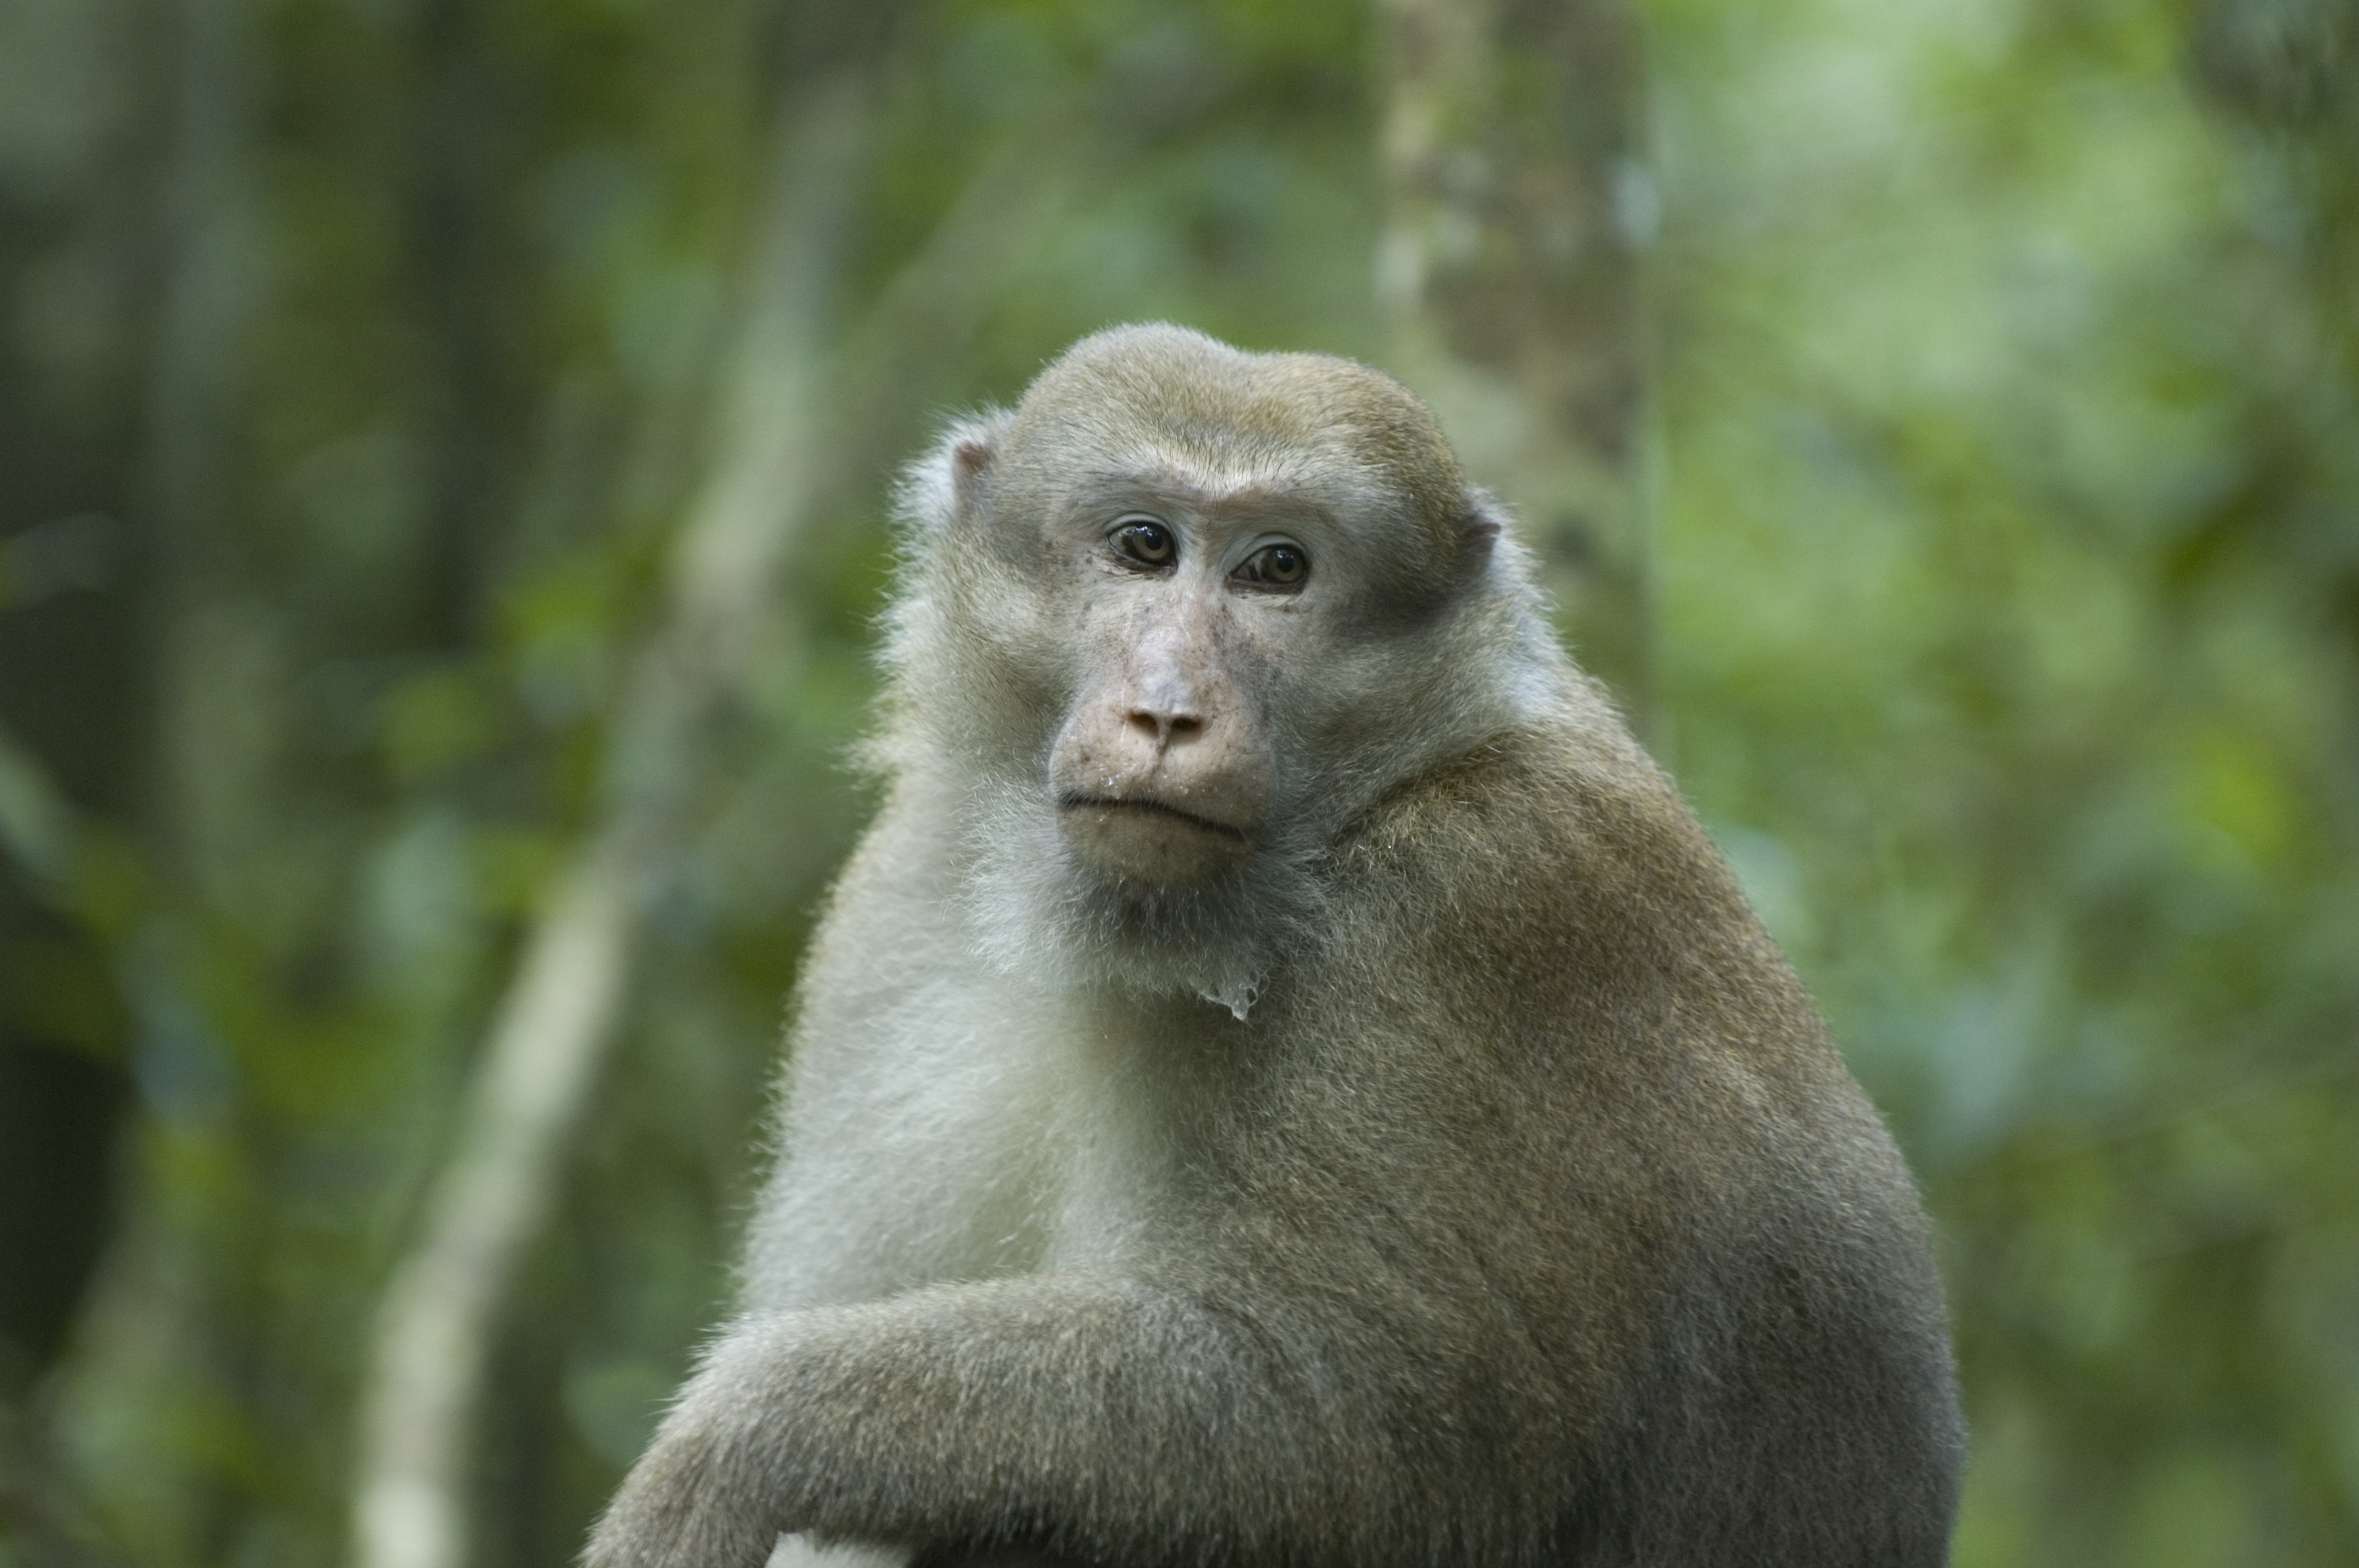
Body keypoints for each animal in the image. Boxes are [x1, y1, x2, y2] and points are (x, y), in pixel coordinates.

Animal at [590, 321, 1972, 1565]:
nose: (1168, 713)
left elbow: (1374, 1430)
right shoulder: (896, 901)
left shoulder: (1487, 903)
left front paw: (739, 1441)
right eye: (1144, 547)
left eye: (1277, 571)